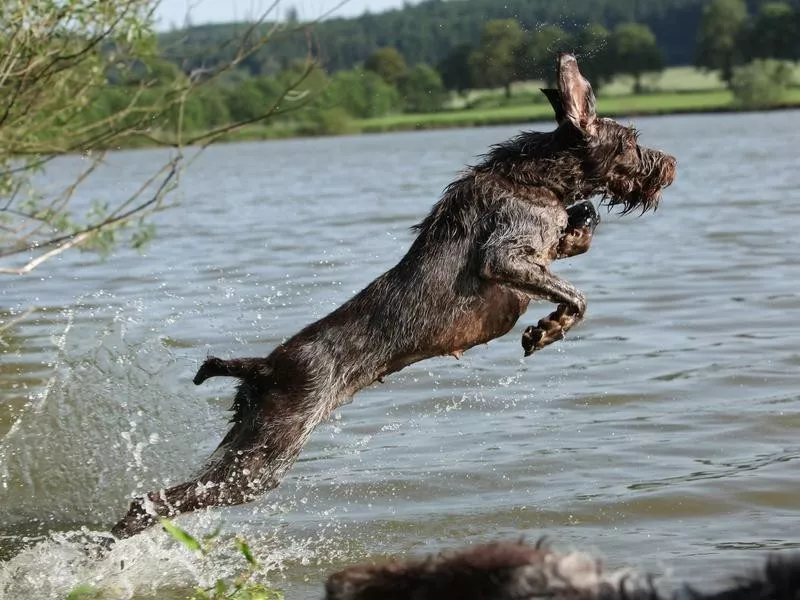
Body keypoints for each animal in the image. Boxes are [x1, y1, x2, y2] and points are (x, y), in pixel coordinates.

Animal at [111, 52, 676, 540]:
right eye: (630, 140)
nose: (670, 164)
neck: (539, 177)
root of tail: (263, 367)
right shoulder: (504, 256)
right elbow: (576, 293)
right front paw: (548, 328)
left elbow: (580, 229)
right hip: (263, 459)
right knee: (149, 502)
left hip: (244, 442)